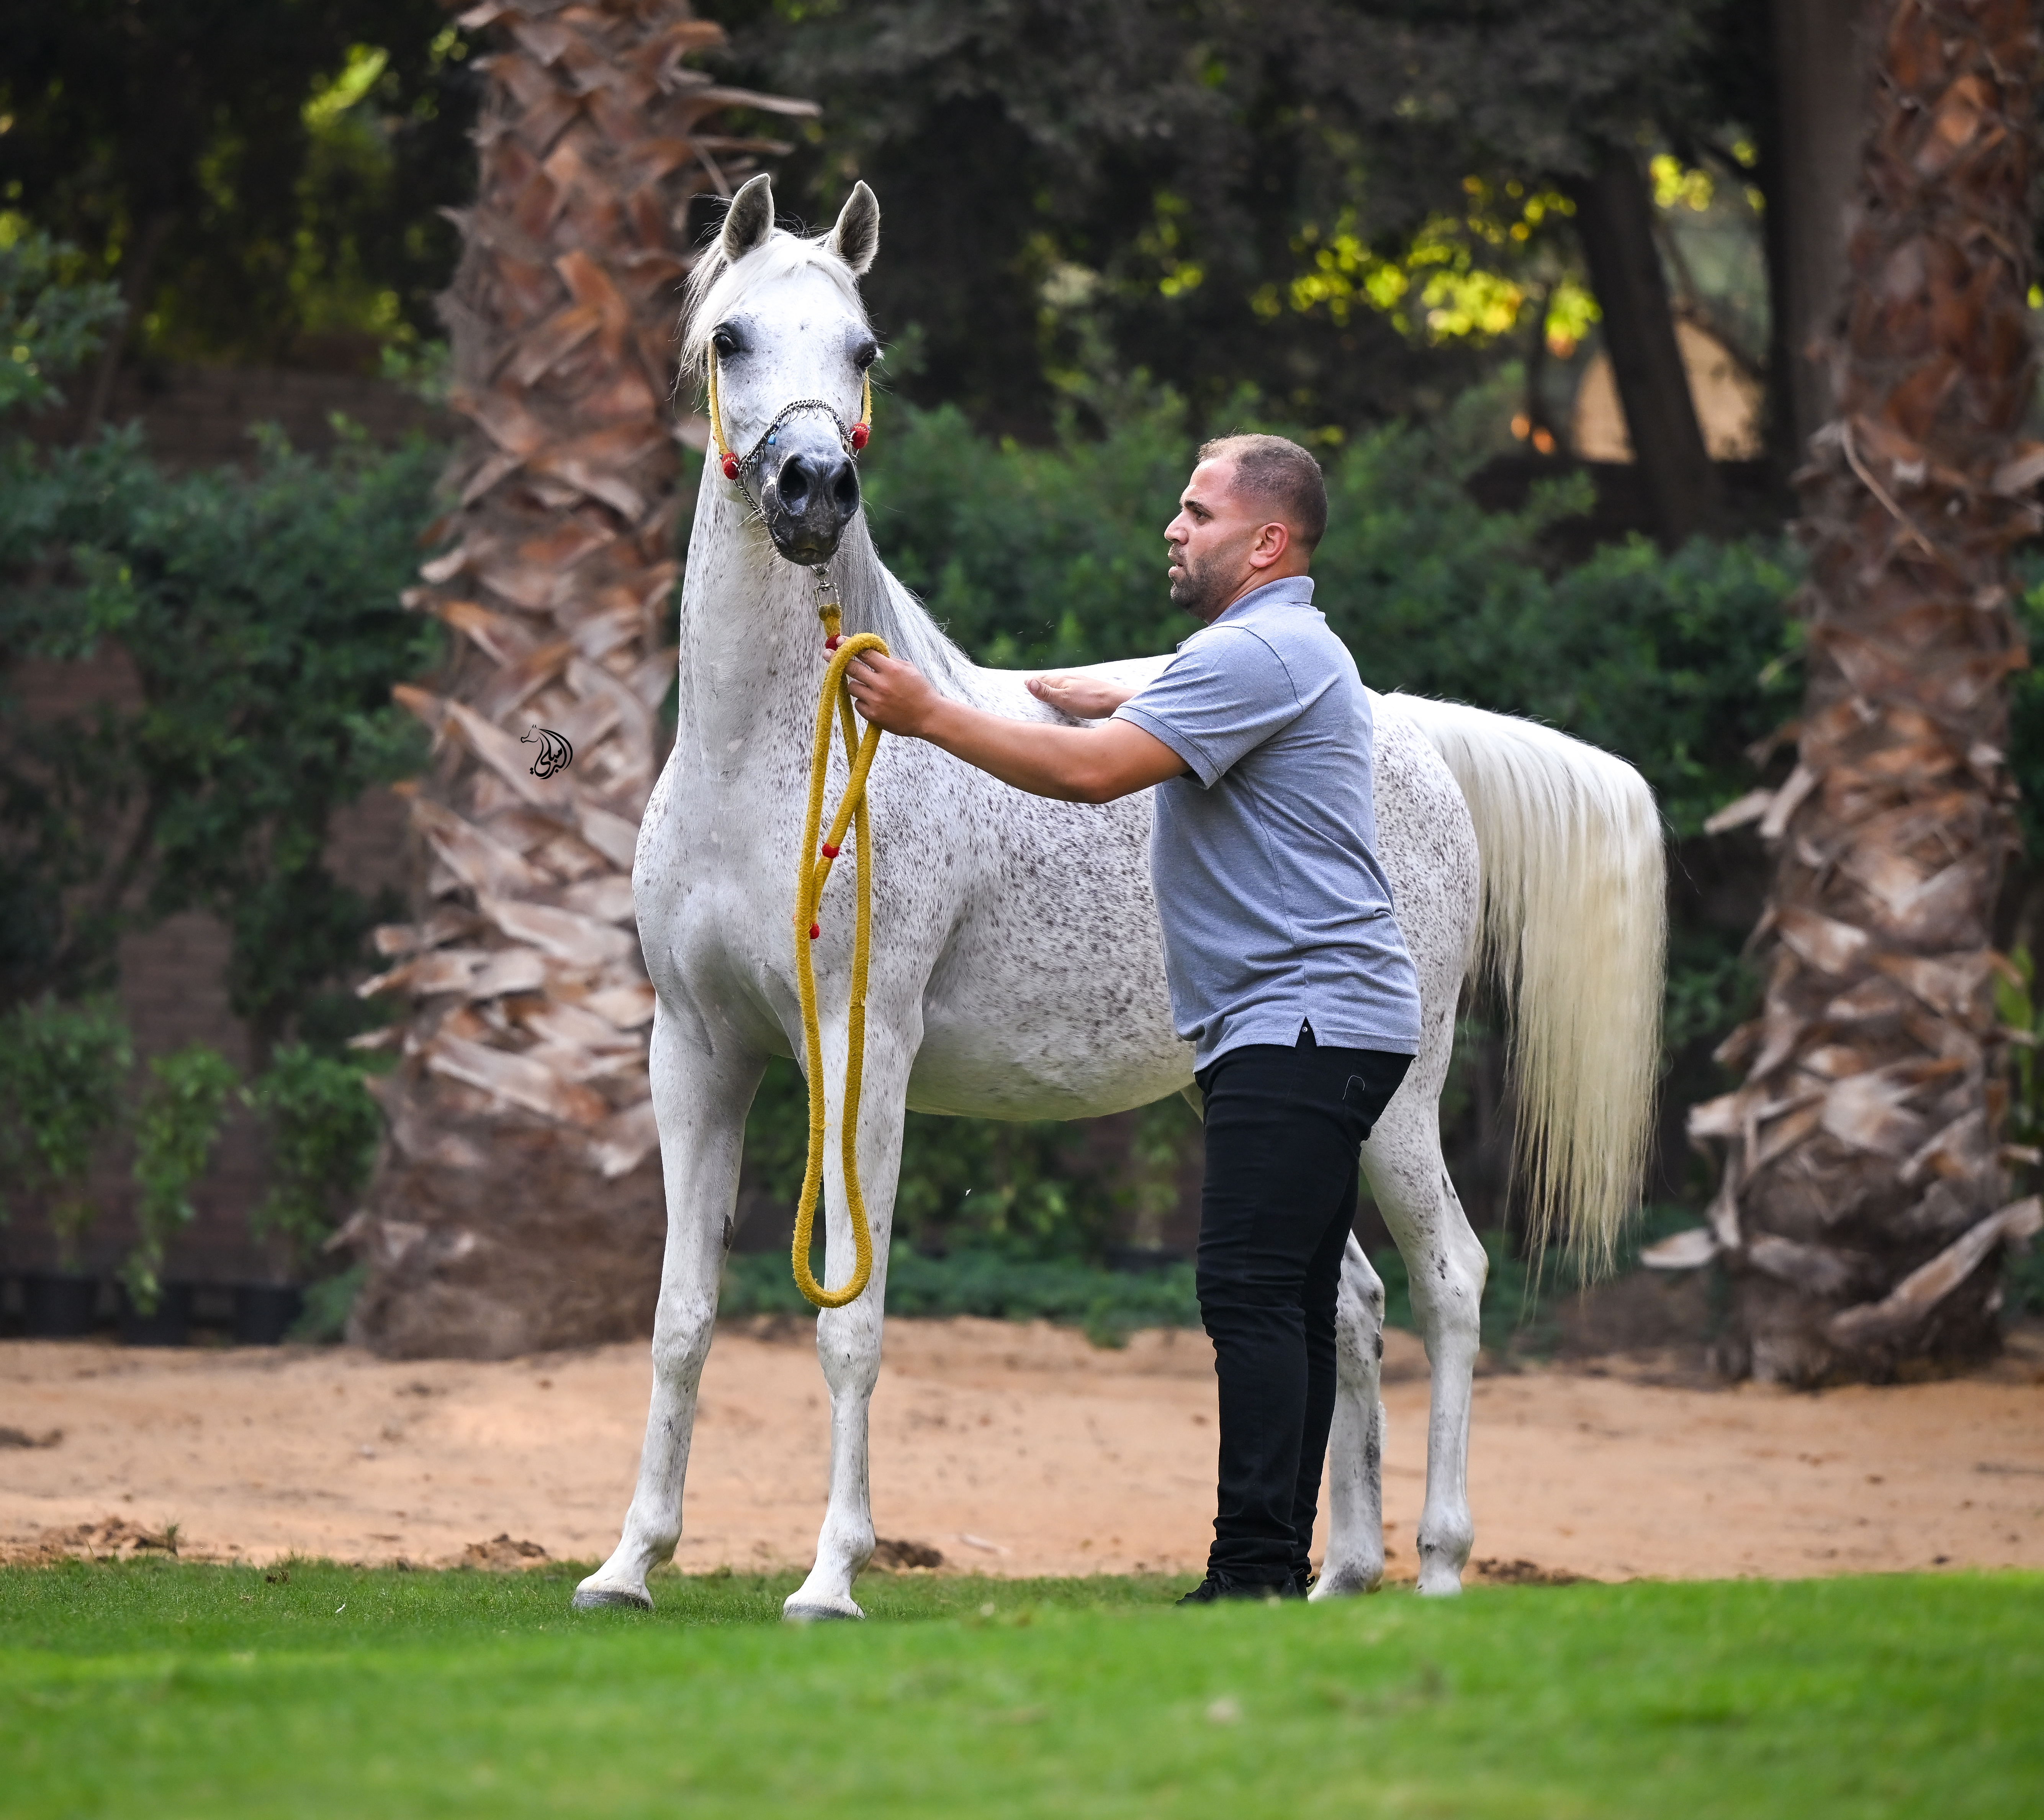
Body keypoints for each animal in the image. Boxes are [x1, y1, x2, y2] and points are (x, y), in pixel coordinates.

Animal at [572, 175, 1666, 1618]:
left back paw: (1435, 1564)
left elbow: (851, 1325)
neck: (766, 762)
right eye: (731, 337)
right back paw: (1335, 1574)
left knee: (1450, 1280)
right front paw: (628, 1563)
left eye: (864, 350)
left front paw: (830, 1576)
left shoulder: (861, 1056)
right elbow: (679, 1321)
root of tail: (1406, 723)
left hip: (1400, 1100)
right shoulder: (697, 1054)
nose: (813, 490)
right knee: (1350, 1304)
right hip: (1260, 1102)